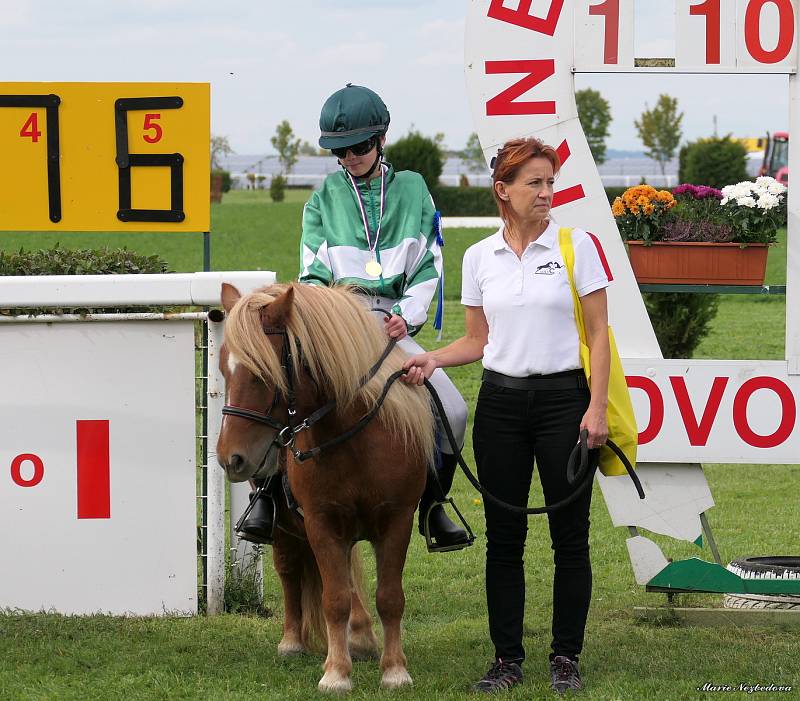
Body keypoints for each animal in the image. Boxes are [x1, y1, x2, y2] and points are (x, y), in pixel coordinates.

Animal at [216, 282, 434, 692]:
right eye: (223, 369)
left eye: (262, 373)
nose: (230, 459)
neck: (352, 438)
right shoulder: (320, 522)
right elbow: (334, 599)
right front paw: (336, 672)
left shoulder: (397, 520)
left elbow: (389, 597)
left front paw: (395, 670)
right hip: (287, 528)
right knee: (290, 571)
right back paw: (293, 641)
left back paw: (361, 637)